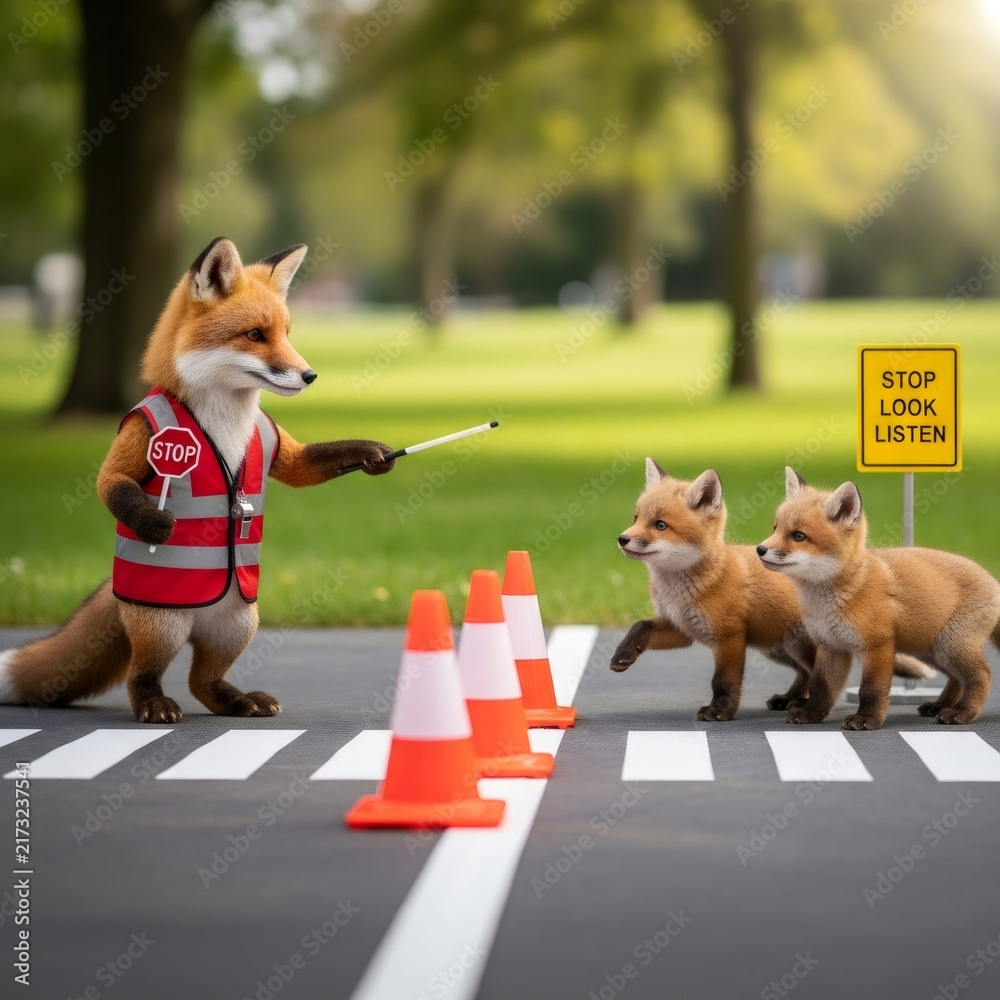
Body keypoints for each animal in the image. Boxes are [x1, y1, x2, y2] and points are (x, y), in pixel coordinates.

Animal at [0, 237, 396, 724]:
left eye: (287, 333)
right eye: (255, 335)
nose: (310, 375)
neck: (226, 416)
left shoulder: (279, 448)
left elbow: (309, 463)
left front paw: (371, 452)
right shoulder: (138, 438)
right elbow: (112, 481)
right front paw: (154, 524)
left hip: (238, 624)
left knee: (202, 681)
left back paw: (239, 700)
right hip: (162, 627)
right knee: (141, 674)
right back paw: (153, 703)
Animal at [611, 460, 933, 721]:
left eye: (660, 525)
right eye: (636, 518)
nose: (622, 538)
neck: (684, 589)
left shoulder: (729, 637)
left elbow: (723, 681)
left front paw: (719, 712)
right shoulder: (682, 628)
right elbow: (640, 626)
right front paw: (623, 655)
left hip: (800, 645)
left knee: (816, 673)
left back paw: (801, 704)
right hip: (777, 648)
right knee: (805, 673)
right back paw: (790, 699)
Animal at [757, 467, 1000, 730]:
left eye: (798, 536)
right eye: (775, 529)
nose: (759, 549)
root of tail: (993, 580)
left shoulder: (878, 645)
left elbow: (871, 689)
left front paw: (866, 719)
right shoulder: (830, 646)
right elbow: (820, 685)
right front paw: (811, 713)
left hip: (949, 646)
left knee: (982, 675)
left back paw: (961, 712)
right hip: (933, 651)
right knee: (957, 679)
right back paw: (939, 706)